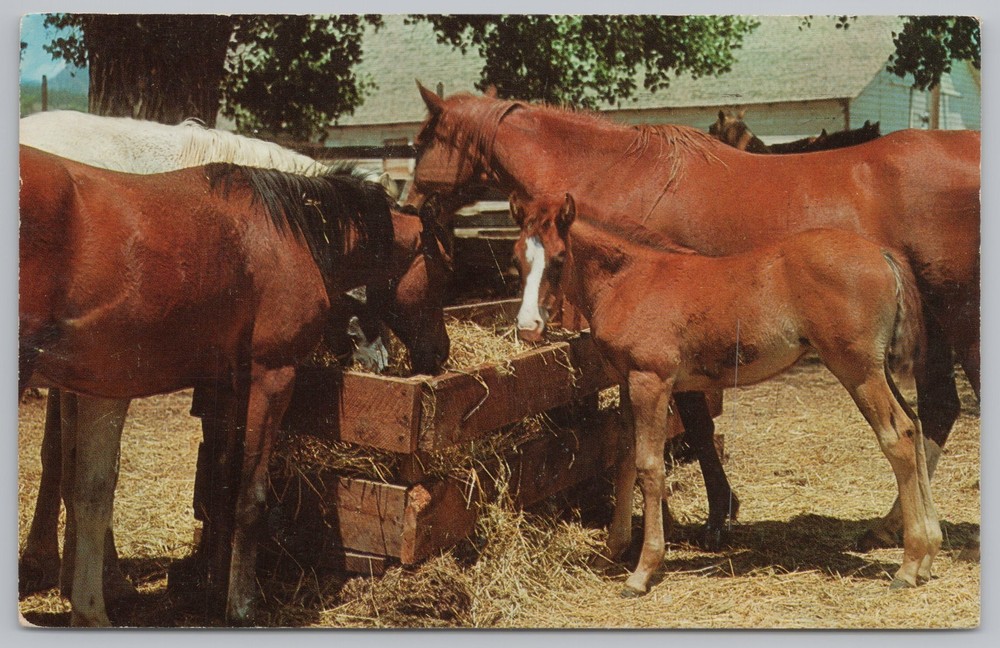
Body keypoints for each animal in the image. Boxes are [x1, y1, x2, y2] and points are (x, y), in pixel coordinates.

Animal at [19, 145, 449, 625]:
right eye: (441, 269)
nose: (440, 352)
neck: (286, 231)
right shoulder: (272, 378)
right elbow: (249, 497)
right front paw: (241, 604)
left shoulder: (226, 386)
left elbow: (222, 490)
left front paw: (212, 589)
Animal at [510, 192, 940, 596]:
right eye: (517, 259)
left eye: (559, 258)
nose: (529, 327)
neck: (632, 280)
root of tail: (881, 254)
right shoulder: (626, 381)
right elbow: (625, 460)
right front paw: (612, 552)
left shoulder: (652, 380)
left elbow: (650, 467)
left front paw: (642, 571)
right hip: (876, 369)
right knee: (915, 426)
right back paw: (928, 555)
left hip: (857, 370)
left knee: (898, 437)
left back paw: (908, 565)